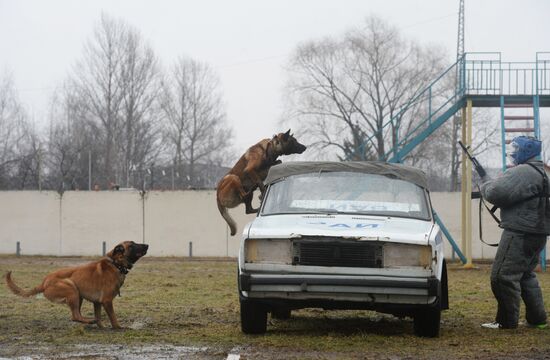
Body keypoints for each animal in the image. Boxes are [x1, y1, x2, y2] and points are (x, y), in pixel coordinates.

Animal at [4, 242, 150, 330]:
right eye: (132, 245)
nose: (147, 245)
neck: (116, 264)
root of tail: (44, 282)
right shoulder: (107, 301)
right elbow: (113, 317)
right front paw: (118, 328)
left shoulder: (98, 302)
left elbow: (99, 316)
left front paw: (101, 327)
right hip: (72, 289)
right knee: (75, 315)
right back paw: (90, 321)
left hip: (78, 295)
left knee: (76, 316)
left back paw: (90, 322)